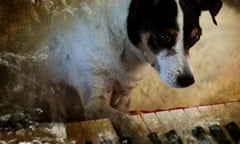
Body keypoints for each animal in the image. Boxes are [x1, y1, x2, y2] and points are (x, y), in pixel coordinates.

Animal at [47, 0, 222, 142]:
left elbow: (124, 115)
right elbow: (127, 121)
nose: (188, 81)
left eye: (195, 38)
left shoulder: (124, 98)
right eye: (163, 36)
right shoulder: (94, 102)